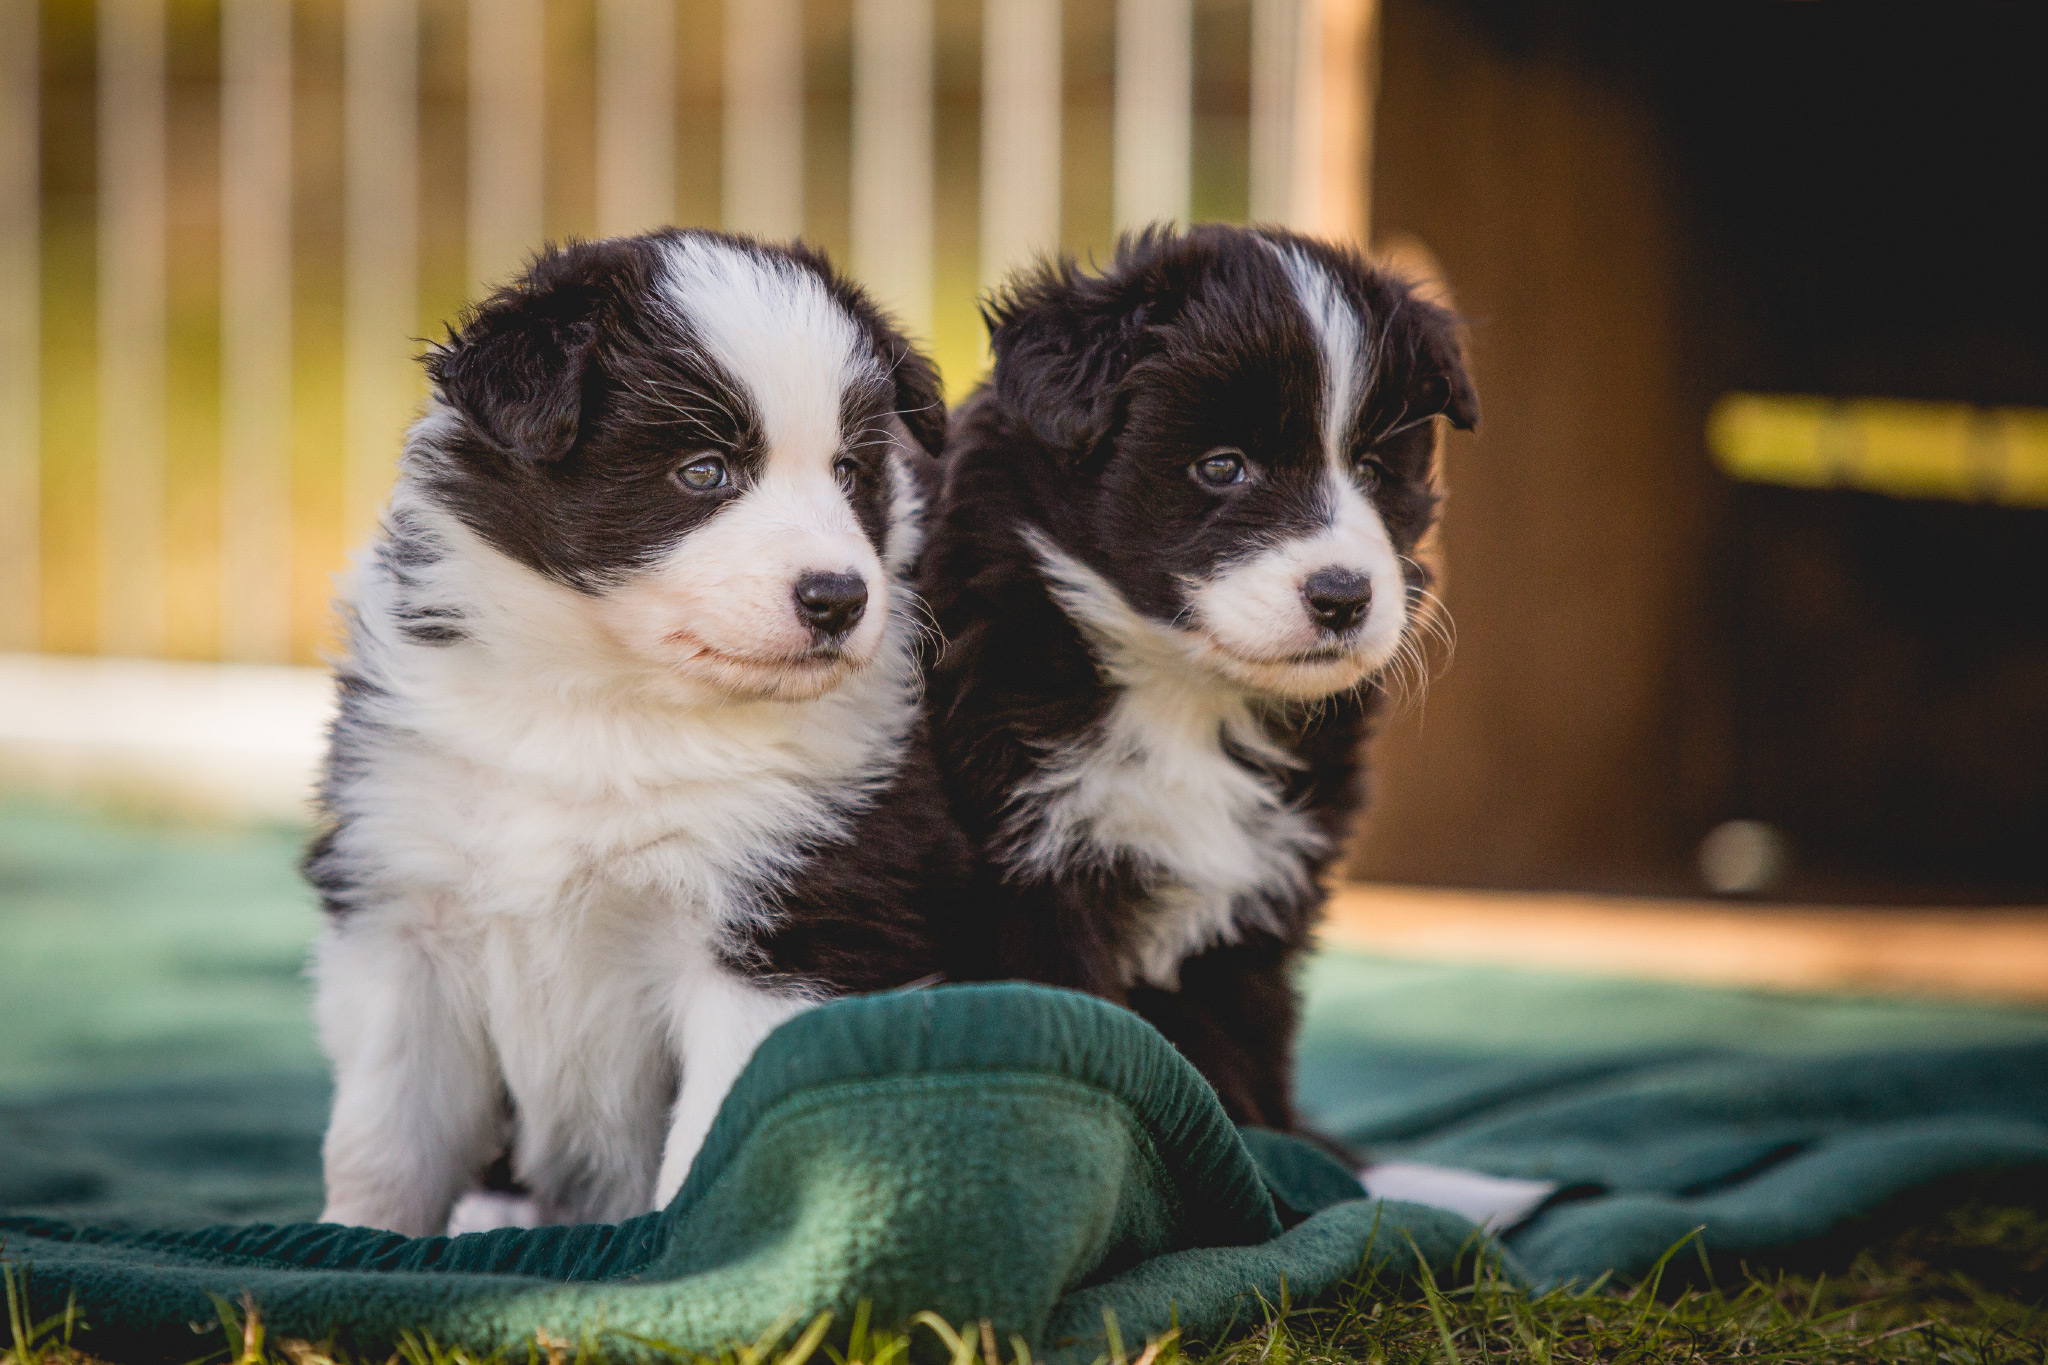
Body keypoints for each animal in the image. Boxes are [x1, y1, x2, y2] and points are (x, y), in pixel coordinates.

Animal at [307, 229, 962, 1236]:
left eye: (851, 471)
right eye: (703, 470)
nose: (839, 597)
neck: (609, 703)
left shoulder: (782, 932)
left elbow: (715, 1138)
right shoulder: (406, 906)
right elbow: (383, 1137)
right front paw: (355, 1241)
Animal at [925, 224, 1474, 1129]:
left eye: (1370, 469)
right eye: (1222, 466)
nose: (1343, 596)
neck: (1184, 695)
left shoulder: (1253, 911)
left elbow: (1246, 1078)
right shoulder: (1031, 885)